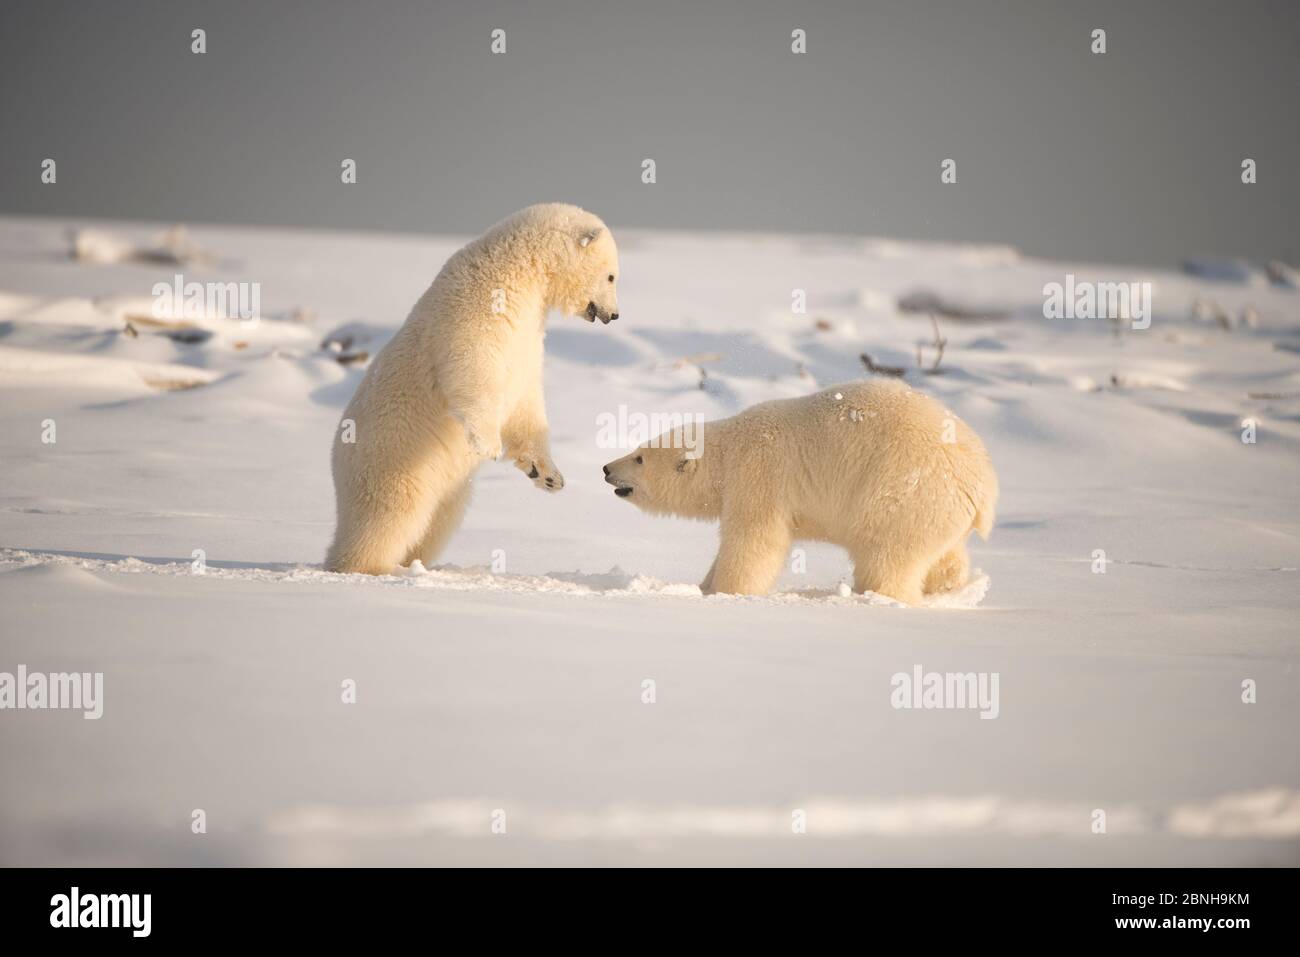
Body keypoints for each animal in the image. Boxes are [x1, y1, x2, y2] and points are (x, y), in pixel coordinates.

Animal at [330, 204, 624, 574]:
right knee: (389, 516)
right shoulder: (480, 305)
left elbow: (525, 399)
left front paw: (548, 474)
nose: (614, 315)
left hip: (448, 486)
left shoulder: (527, 334)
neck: (519, 268)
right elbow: (473, 366)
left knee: (438, 522)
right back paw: (366, 567)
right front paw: (488, 444)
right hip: (391, 461)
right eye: (611, 276)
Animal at [603, 382, 998, 605]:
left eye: (639, 458)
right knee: (945, 554)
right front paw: (704, 585)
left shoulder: (759, 473)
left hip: (904, 492)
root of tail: (984, 485)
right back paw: (950, 591)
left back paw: (880, 596)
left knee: (888, 556)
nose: (607, 469)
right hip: (939, 510)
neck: (729, 448)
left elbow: (755, 540)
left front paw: (726, 591)